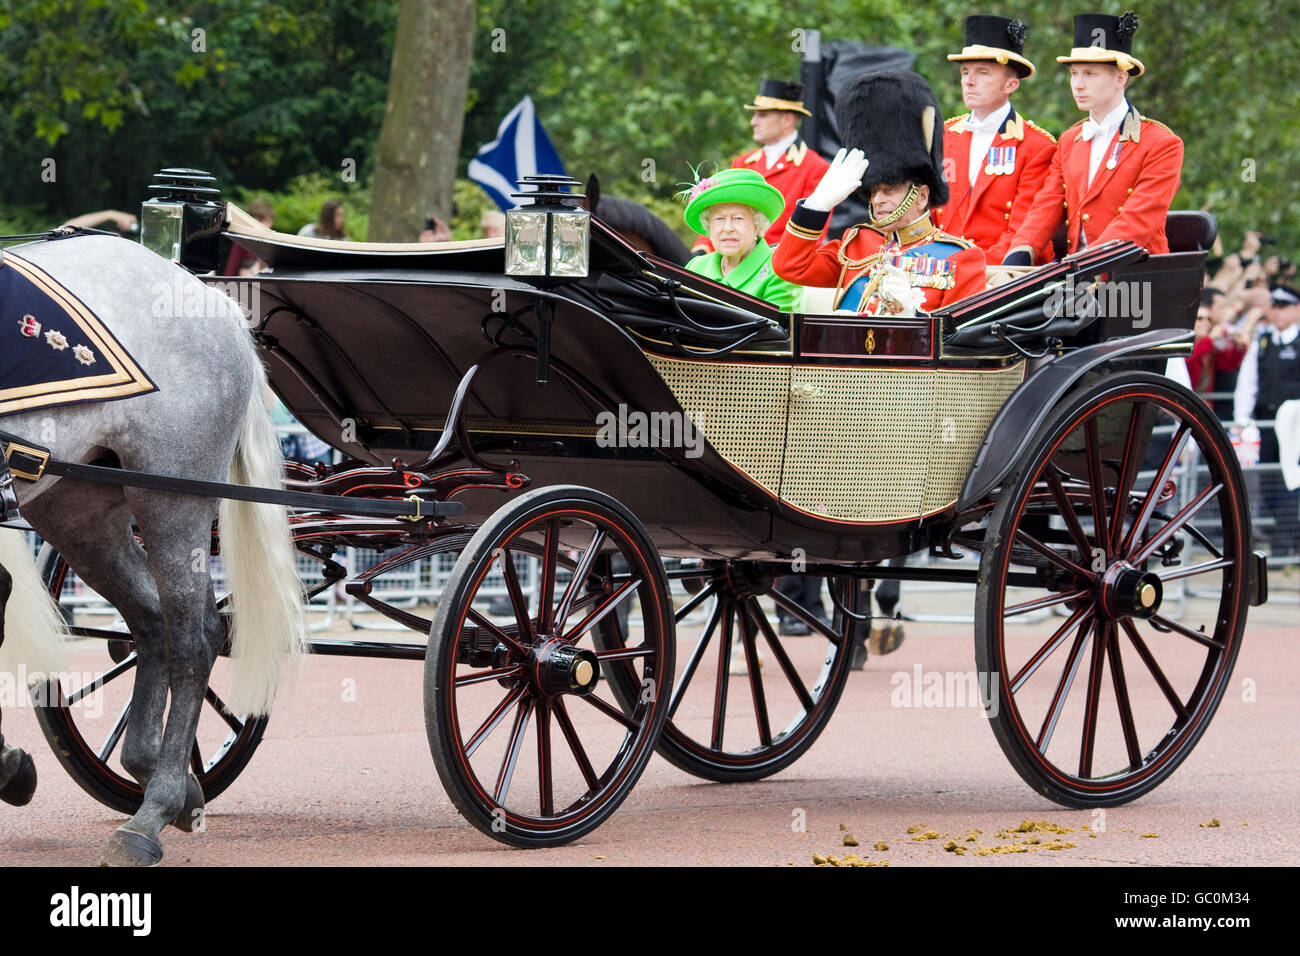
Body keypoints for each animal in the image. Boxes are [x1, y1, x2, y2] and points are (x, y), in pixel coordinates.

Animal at [0, 234, 302, 868]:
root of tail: (208, 296)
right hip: (78, 507)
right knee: (152, 622)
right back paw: (168, 780)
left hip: (172, 499)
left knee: (197, 637)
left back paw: (151, 814)